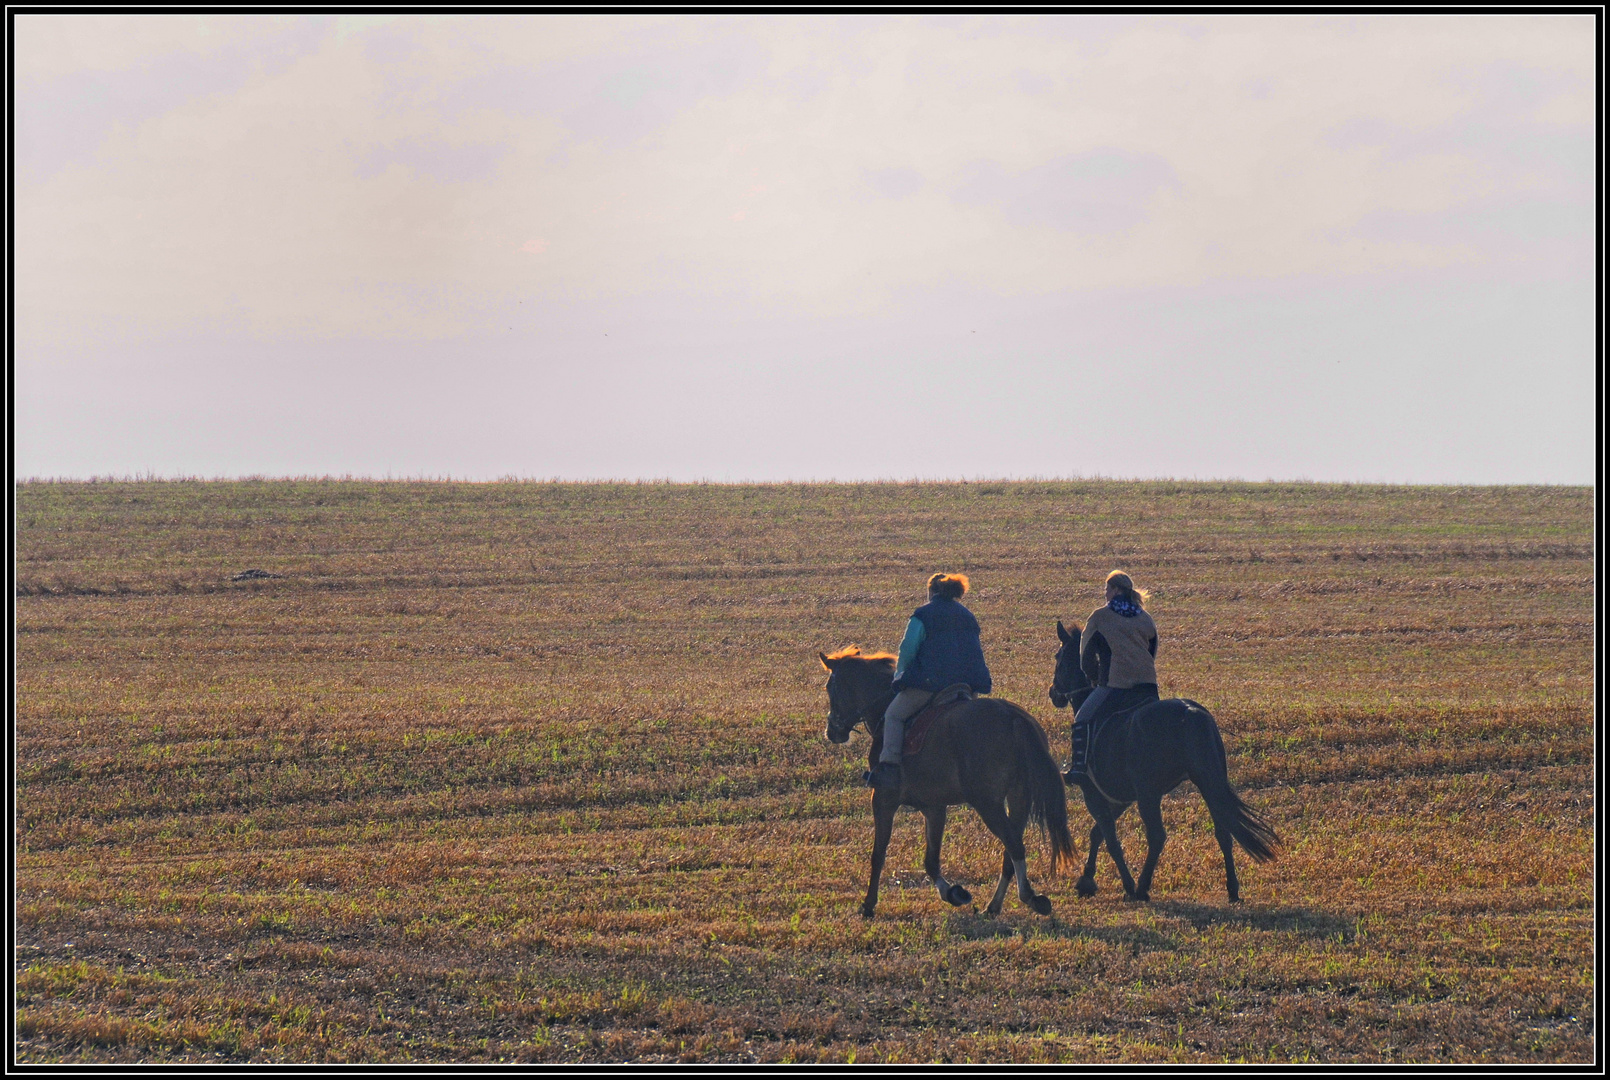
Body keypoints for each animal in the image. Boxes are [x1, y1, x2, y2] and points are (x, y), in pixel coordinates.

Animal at [817, 650, 1081, 920]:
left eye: (830, 687)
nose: (832, 731)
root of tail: (1013, 718)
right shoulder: (934, 807)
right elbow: (931, 860)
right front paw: (954, 893)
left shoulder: (883, 799)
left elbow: (878, 854)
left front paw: (868, 904)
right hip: (1019, 798)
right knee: (1010, 851)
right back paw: (993, 906)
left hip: (988, 803)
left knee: (1014, 845)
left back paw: (1029, 897)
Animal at [1043, 621, 1281, 901]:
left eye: (1058, 657)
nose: (1053, 693)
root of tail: (1191, 712)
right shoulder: (1121, 798)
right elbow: (1097, 834)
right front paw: (1087, 879)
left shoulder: (1095, 794)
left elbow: (1110, 839)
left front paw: (1122, 884)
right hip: (1208, 782)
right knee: (1223, 831)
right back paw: (1232, 889)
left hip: (1150, 794)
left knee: (1157, 836)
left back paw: (1142, 888)